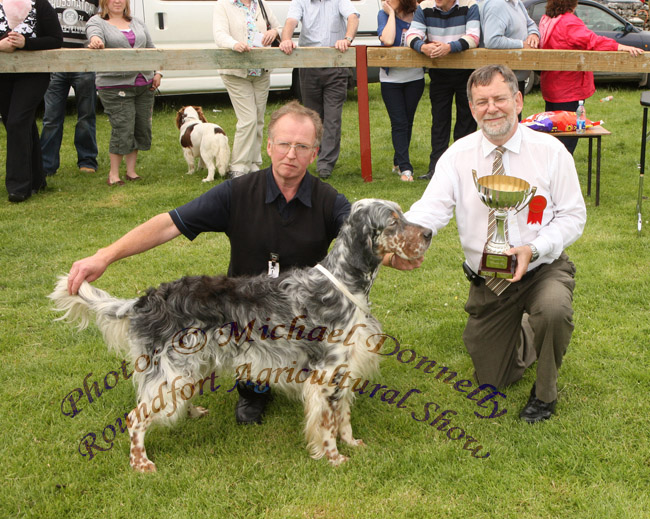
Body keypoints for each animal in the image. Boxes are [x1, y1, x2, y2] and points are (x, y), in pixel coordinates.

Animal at [48, 198, 428, 472]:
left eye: (403, 214)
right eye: (393, 221)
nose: (429, 234)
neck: (345, 284)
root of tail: (149, 298)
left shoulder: (345, 370)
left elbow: (343, 416)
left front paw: (352, 444)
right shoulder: (326, 373)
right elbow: (327, 423)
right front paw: (334, 458)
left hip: (186, 368)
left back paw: (191, 412)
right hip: (171, 371)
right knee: (135, 417)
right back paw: (141, 464)